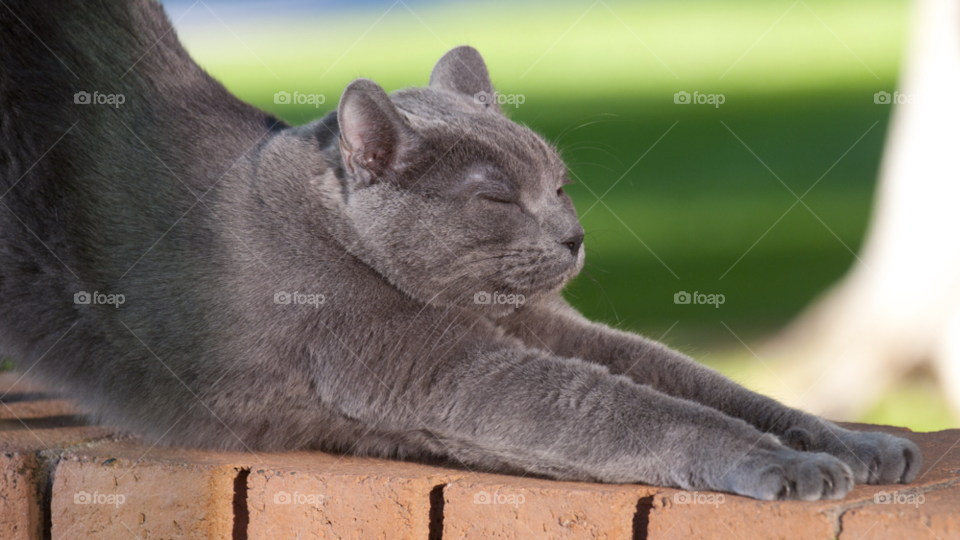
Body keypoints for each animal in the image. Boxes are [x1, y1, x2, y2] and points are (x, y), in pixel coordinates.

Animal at [0, 0, 920, 502]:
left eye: (560, 185)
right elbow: (623, 407)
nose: (573, 235)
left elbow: (694, 379)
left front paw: (853, 441)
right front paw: (780, 463)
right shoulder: (425, 361)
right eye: (496, 199)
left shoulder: (549, 328)